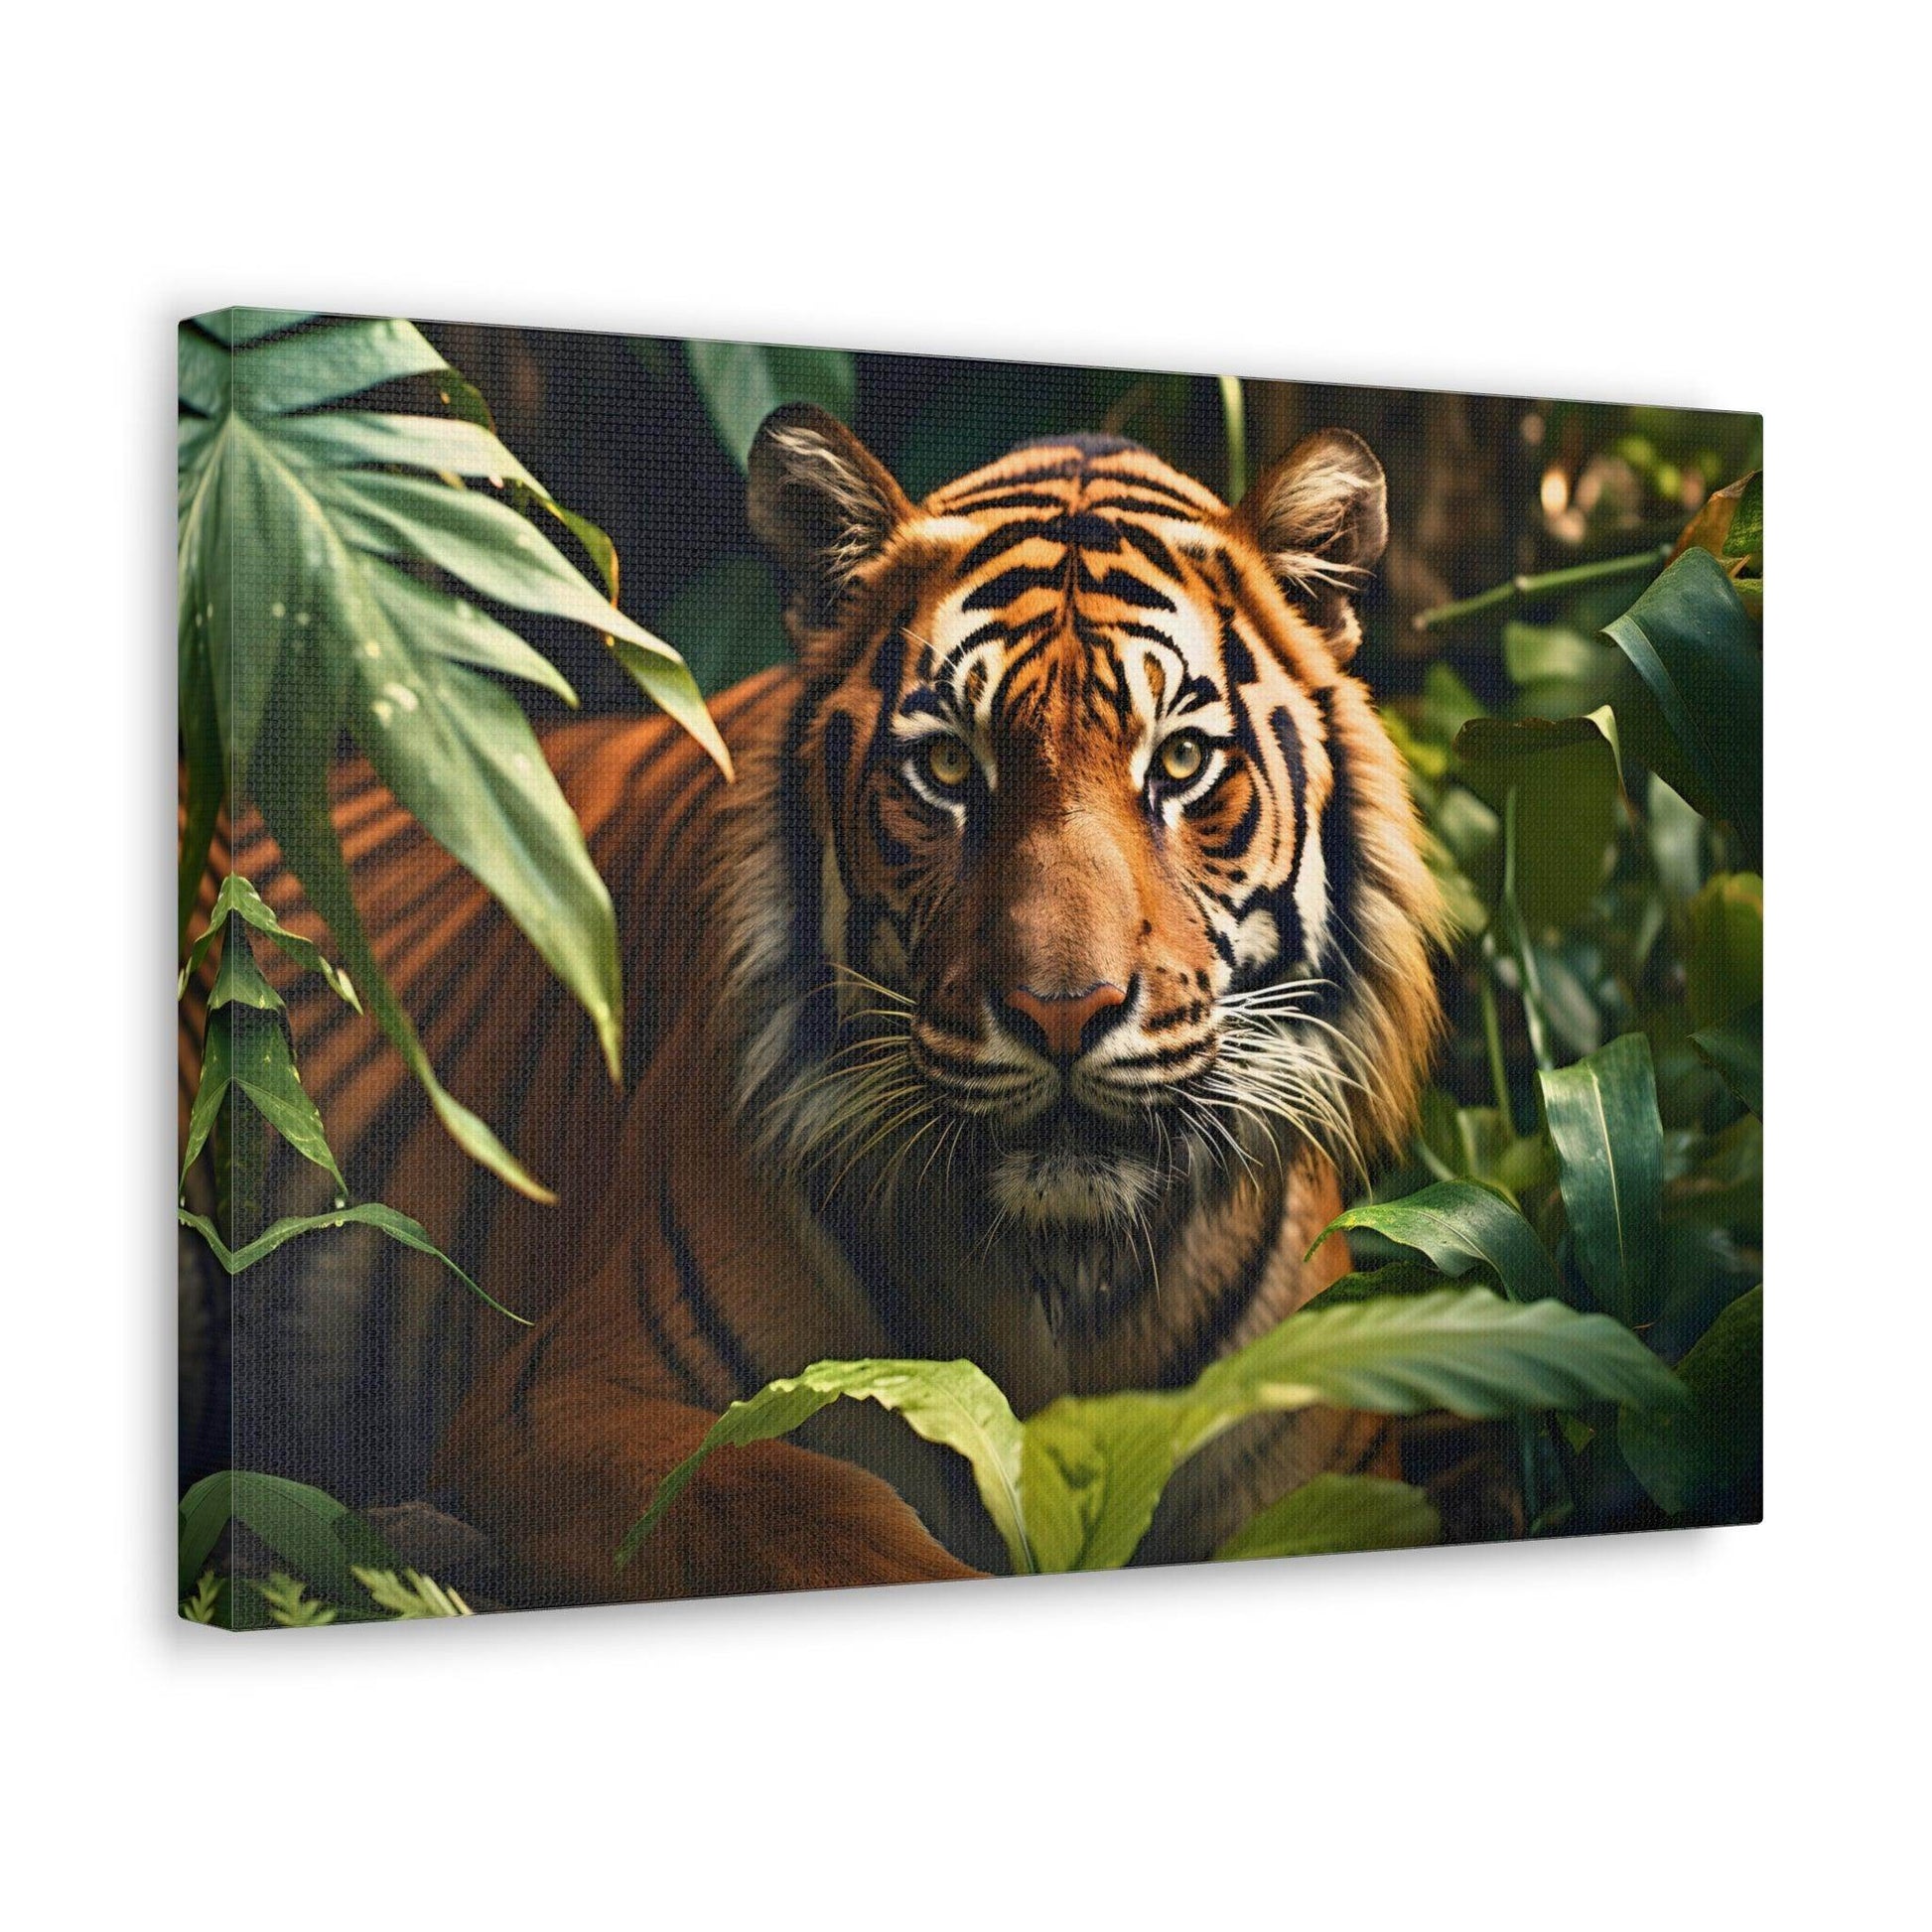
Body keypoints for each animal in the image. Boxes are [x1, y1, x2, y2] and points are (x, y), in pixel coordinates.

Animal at [194, 406, 1449, 1604]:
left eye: (1181, 762)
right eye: (947, 770)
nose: (1060, 1011)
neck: (1066, 1278)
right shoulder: (556, 1396)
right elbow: (788, 1497)